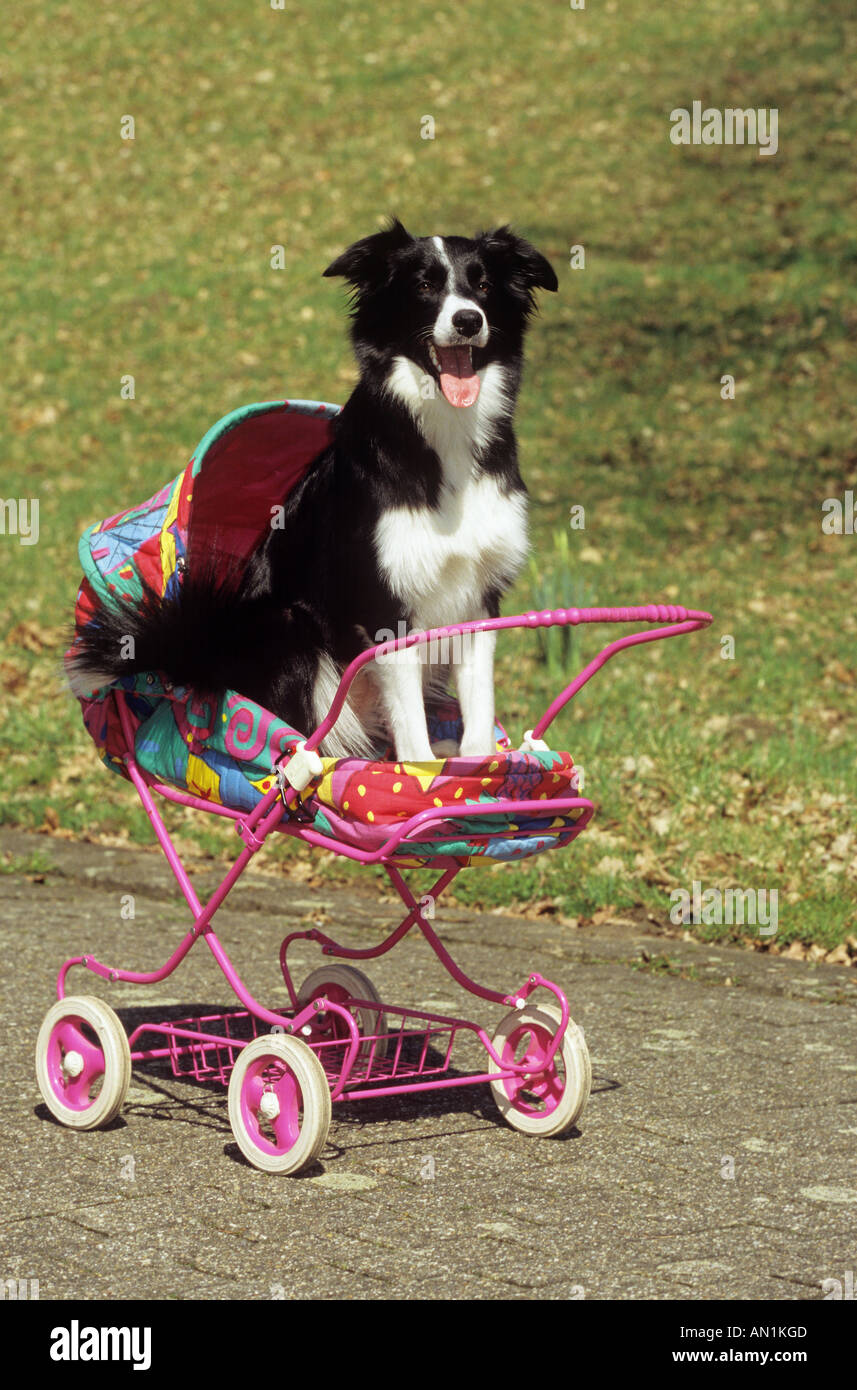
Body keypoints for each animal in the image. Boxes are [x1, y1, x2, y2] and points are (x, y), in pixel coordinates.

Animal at [70, 219, 558, 761]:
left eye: (484, 285)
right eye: (424, 285)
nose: (469, 320)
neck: (443, 431)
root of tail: (198, 656)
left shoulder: (478, 595)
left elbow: (478, 710)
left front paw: (477, 769)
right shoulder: (386, 606)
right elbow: (411, 732)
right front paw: (422, 777)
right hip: (289, 628)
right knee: (304, 737)